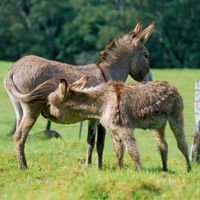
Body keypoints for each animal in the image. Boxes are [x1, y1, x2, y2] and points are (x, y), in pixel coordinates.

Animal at [43, 77, 191, 172]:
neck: (103, 102)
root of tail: (171, 86)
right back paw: (165, 169)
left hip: (176, 117)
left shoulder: (125, 128)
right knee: (163, 145)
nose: (43, 113)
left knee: (182, 143)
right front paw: (120, 171)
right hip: (158, 125)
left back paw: (188, 168)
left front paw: (141, 172)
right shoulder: (114, 131)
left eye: (49, 103)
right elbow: (118, 152)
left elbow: (132, 151)